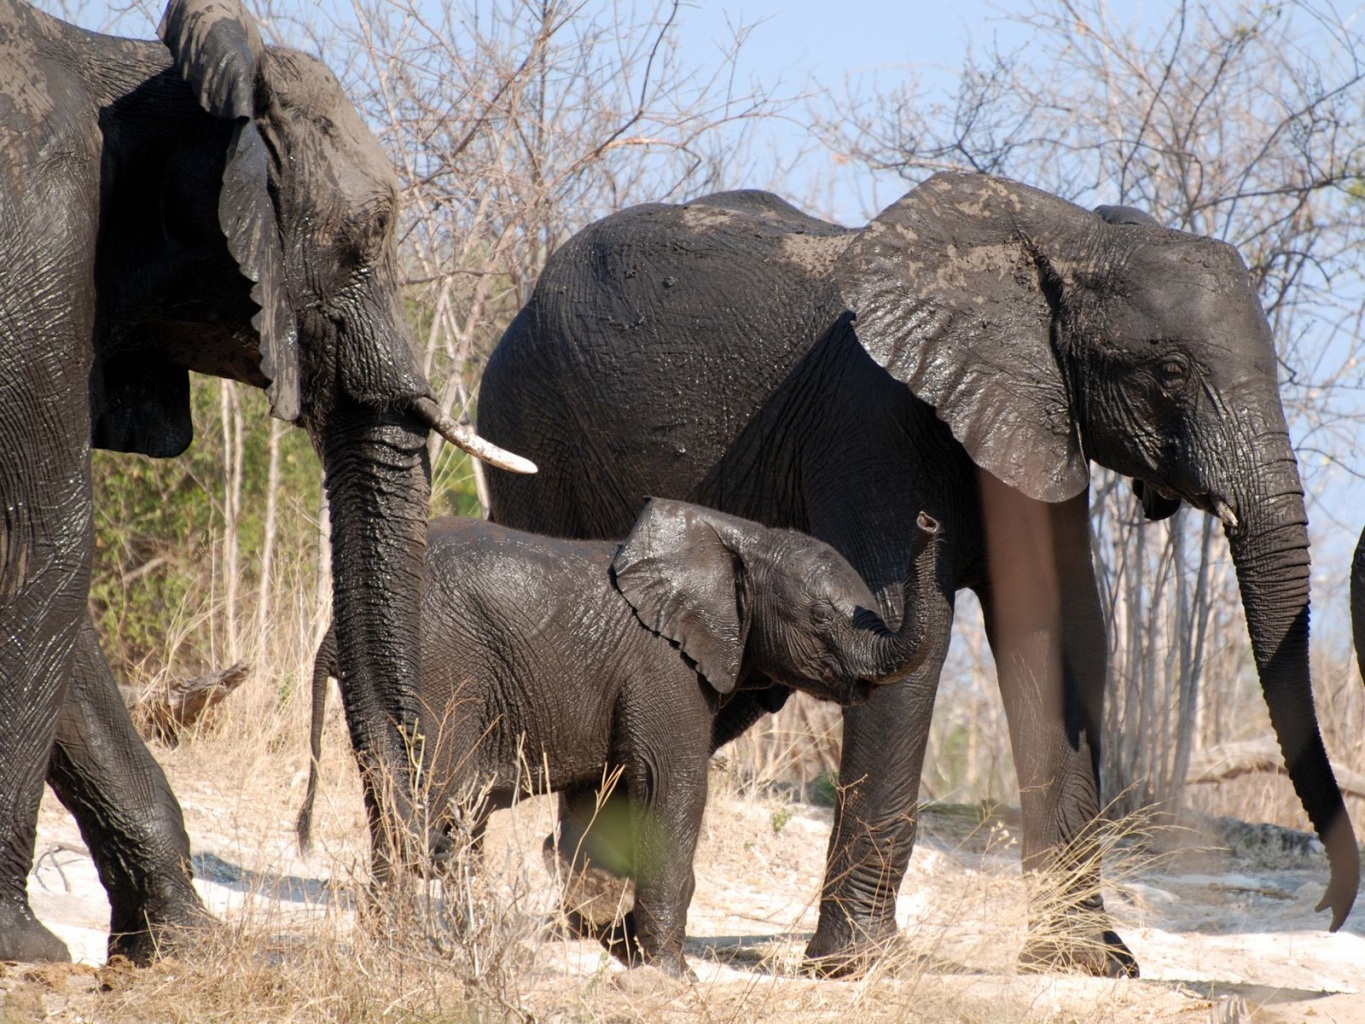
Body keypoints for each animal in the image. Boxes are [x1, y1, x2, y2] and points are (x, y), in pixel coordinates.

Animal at [0, 0, 532, 961]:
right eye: (366, 239)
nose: (421, 876)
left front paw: (180, 946)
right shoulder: (37, 233)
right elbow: (45, 536)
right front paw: (27, 950)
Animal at [298, 499, 944, 977]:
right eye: (821, 620)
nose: (928, 520)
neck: (743, 538)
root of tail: (333, 630)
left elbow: (604, 796)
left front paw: (607, 936)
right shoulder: (663, 666)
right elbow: (671, 784)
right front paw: (670, 976)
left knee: (402, 810)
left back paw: (398, 948)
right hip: (438, 670)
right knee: (435, 807)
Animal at [477, 174, 1354, 977]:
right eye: (1168, 372)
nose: (1329, 909)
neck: (1064, 239)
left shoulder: (1040, 418)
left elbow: (1060, 634)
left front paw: (1085, 964)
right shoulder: (877, 416)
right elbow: (903, 634)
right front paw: (858, 967)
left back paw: (591, 919)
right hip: (529, 425)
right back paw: (589, 921)